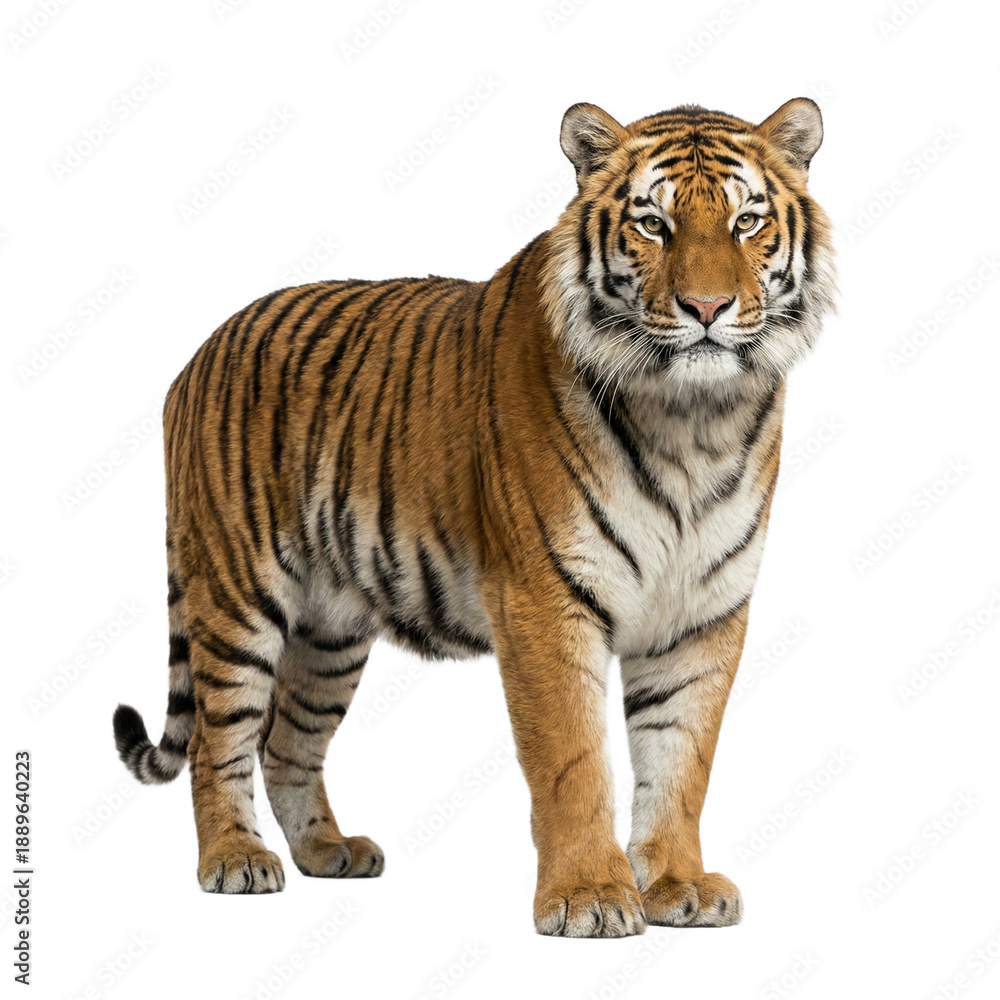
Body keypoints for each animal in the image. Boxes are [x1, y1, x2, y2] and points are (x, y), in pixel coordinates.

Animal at [112, 97, 835, 938]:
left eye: (747, 221)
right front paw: (590, 896)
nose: (708, 308)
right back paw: (234, 859)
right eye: (654, 225)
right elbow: (573, 760)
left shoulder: (703, 612)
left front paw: (677, 884)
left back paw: (329, 852)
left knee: (286, 739)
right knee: (218, 737)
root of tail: (196, 354)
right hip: (237, 595)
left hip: (330, 630)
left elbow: (682, 759)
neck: (694, 419)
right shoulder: (545, 601)